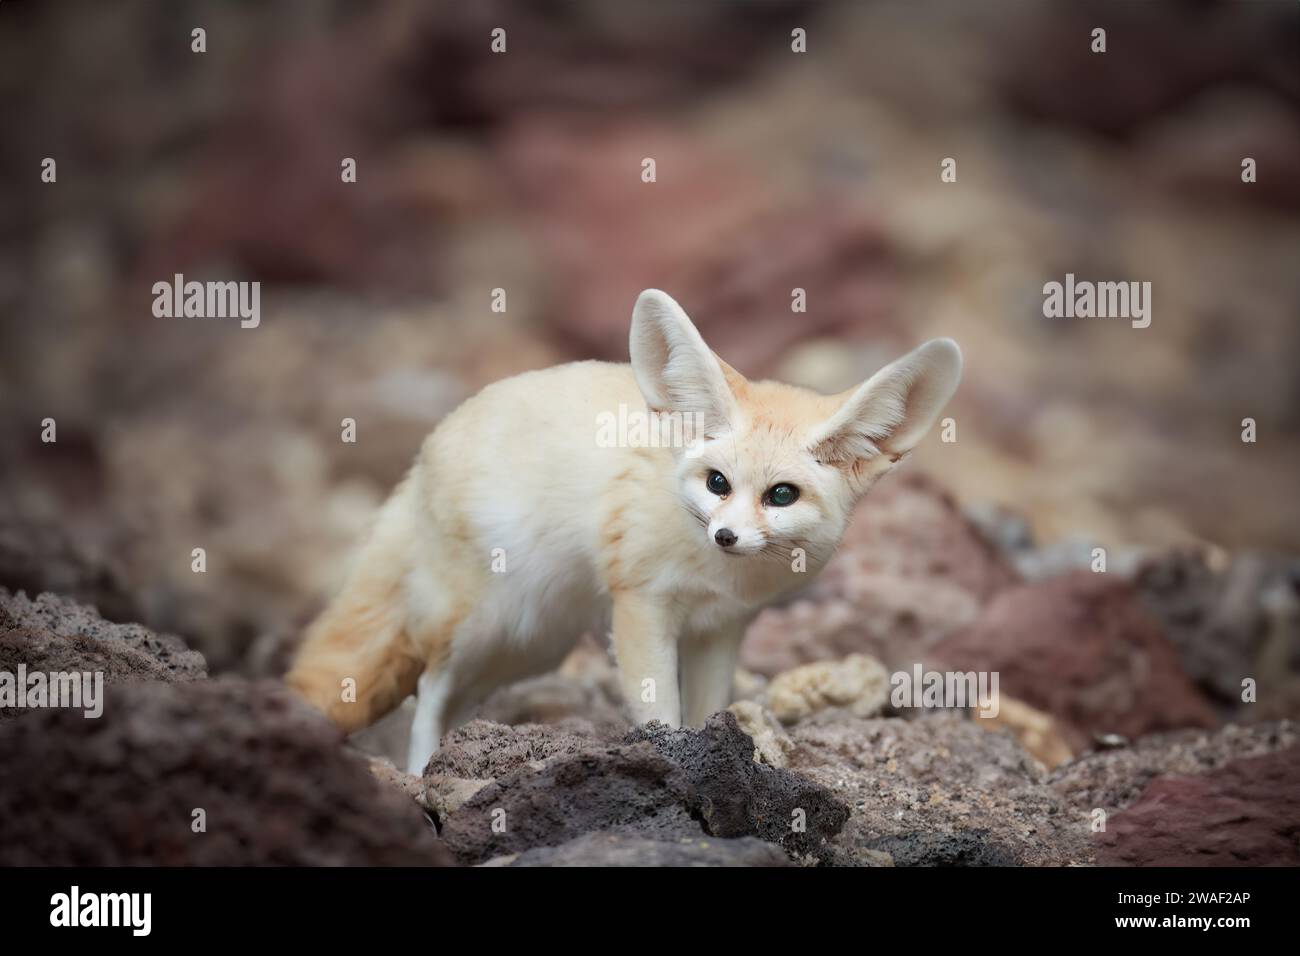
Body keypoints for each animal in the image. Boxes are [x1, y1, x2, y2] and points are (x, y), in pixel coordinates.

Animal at [289, 290, 961, 770]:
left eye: (781, 495)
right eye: (718, 483)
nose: (726, 537)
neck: (717, 574)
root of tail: (426, 449)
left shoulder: (723, 627)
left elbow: (708, 707)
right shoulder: (641, 605)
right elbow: (659, 708)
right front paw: (679, 765)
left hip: (529, 645)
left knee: (450, 696)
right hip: (481, 626)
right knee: (426, 688)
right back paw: (422, 773)